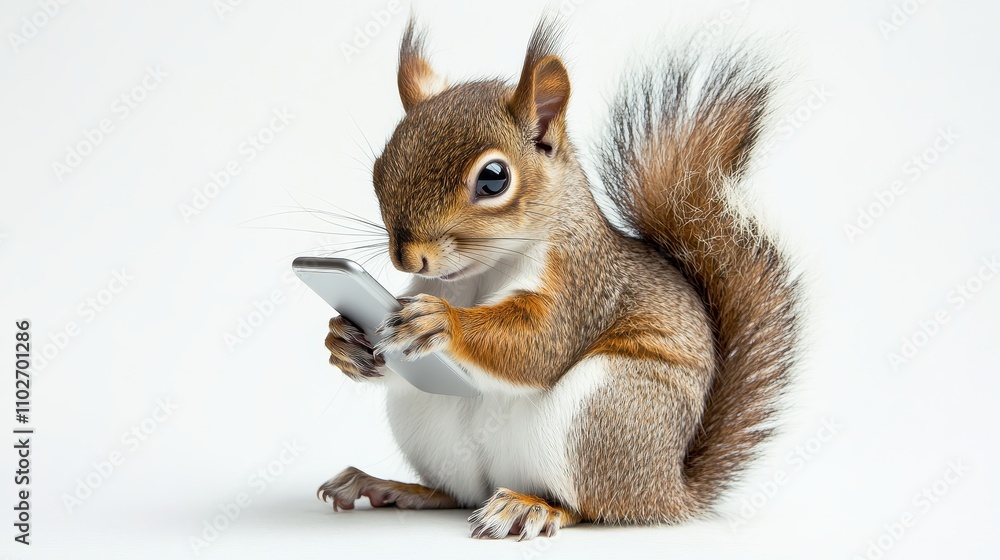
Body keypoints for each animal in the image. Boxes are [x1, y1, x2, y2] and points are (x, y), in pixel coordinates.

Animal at [317, 17, 801, 540]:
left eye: (493, 178)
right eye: (379, 168)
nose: (409, 258)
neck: (481, 273)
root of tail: (670, 490)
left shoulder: (582, 284)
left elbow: (540, 344)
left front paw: (443, 322)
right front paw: (343, 340)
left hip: (606, 412)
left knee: (592, 507)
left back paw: (532, 508)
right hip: (427, 416)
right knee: (456, 493)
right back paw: (394, 487)